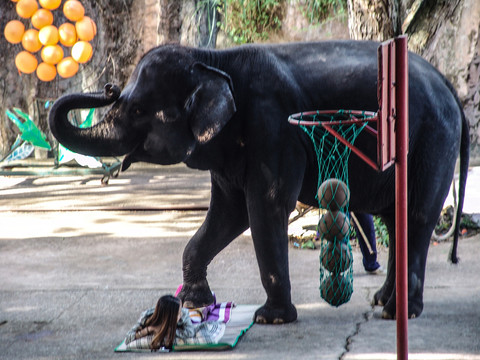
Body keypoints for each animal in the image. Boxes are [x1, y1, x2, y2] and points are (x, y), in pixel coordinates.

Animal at [48, 41, 468, 324]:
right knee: (398, 219)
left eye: (137, 110)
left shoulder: (272, 127)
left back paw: (398, 312)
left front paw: (271, 318)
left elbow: (266, 205)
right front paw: (196, 304)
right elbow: (228, 214)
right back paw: (383, 301)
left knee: (415, 216)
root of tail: (449, 87)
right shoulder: (228, 146)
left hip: (432, 139)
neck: (212, 59)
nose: (107, 87)